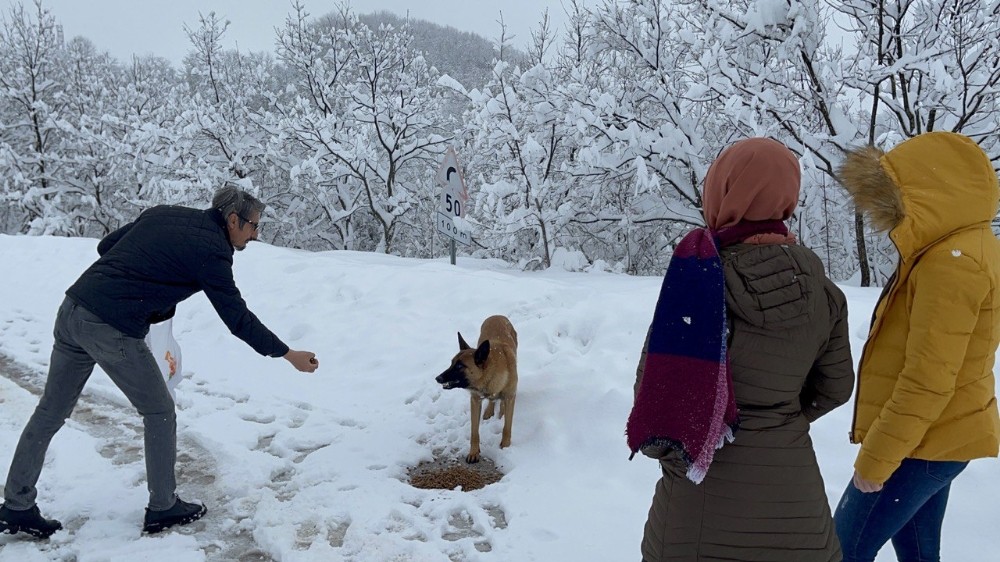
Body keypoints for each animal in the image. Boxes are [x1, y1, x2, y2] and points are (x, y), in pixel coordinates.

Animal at [436, 312, 520, 462]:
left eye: (459, 366)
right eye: (451, 363)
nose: (437, 378)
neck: (491, 374)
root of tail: (497, 315)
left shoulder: (510, 397)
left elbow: (507, 427)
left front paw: (505, 447)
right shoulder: (475, 400)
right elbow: (474, 431)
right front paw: (474, 452)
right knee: (492, 400)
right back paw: (489, 411)